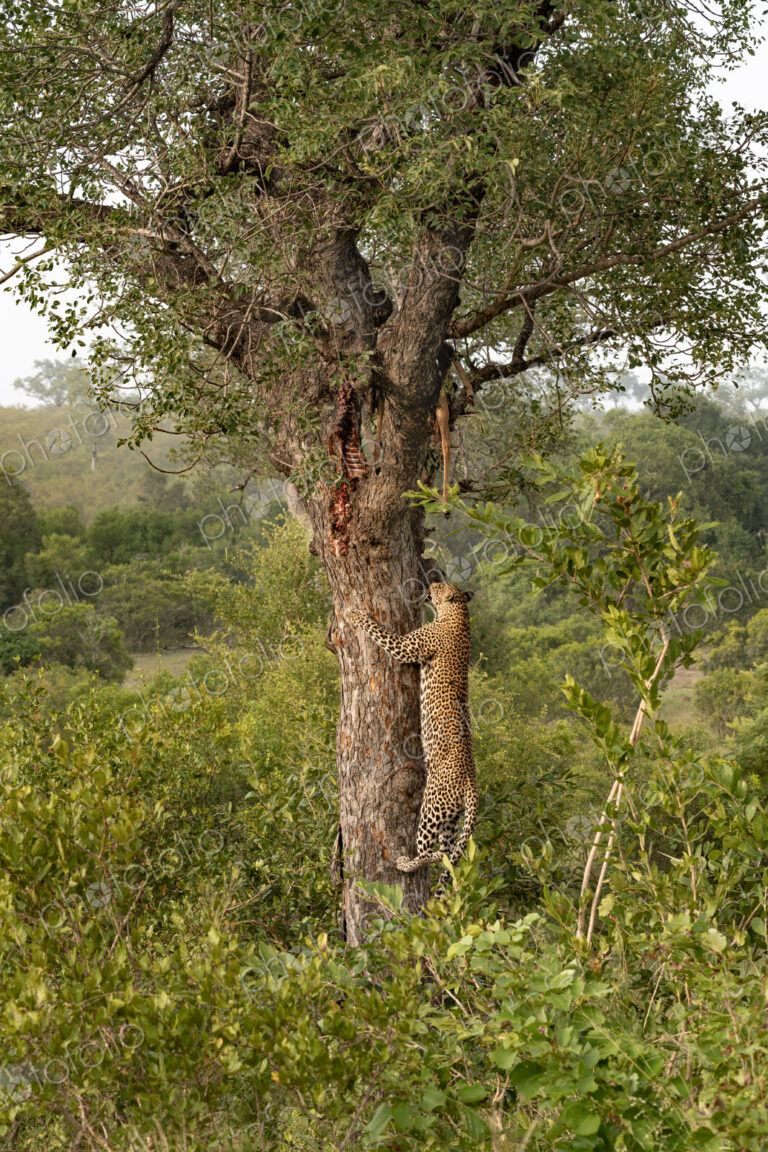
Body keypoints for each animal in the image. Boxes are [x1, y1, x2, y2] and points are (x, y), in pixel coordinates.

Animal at [347, 580, 478, 893]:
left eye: (440, 585)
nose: (431, 582)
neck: (458, 614)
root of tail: (471, 783)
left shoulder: (407, 647)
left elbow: (379, 631)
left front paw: (354, 615)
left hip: (431, 807)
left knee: (428, 851)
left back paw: (405, 863)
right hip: (451, 817)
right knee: (446, 853)